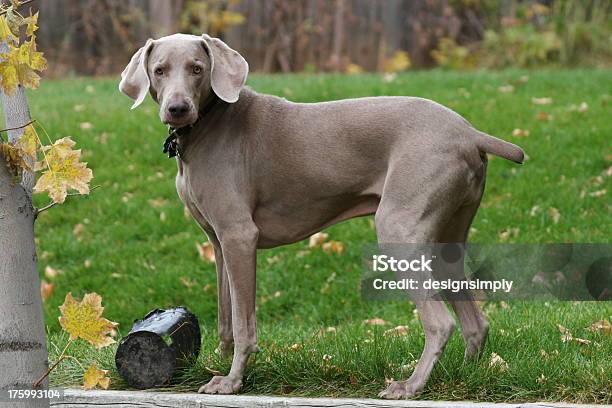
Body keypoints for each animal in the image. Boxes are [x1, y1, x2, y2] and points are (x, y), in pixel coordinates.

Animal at [120, 34, 524, 398]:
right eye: (159, 70)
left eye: (197, 69)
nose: (177, 108)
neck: (208, 124)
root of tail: (470, 133)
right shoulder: (218, 243)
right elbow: (225, 317)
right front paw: (221, 367)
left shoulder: (239, 236)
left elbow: (243, 321)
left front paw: (233, 382)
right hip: (445, 236)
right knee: (475, 323)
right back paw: (463, 377)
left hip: (398, 228)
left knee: (440, 323)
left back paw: (410, 385)